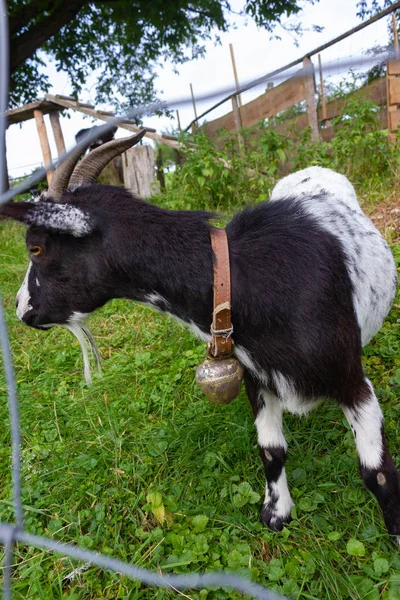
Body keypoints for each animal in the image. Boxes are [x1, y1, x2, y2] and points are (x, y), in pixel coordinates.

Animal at [1, 135, 398, 540]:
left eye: (36, 247)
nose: (20, 308)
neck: (241, 278)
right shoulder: (257, 378)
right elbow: (271, 451)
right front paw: (277, 512)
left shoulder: (350, 380)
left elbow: (376, 472)